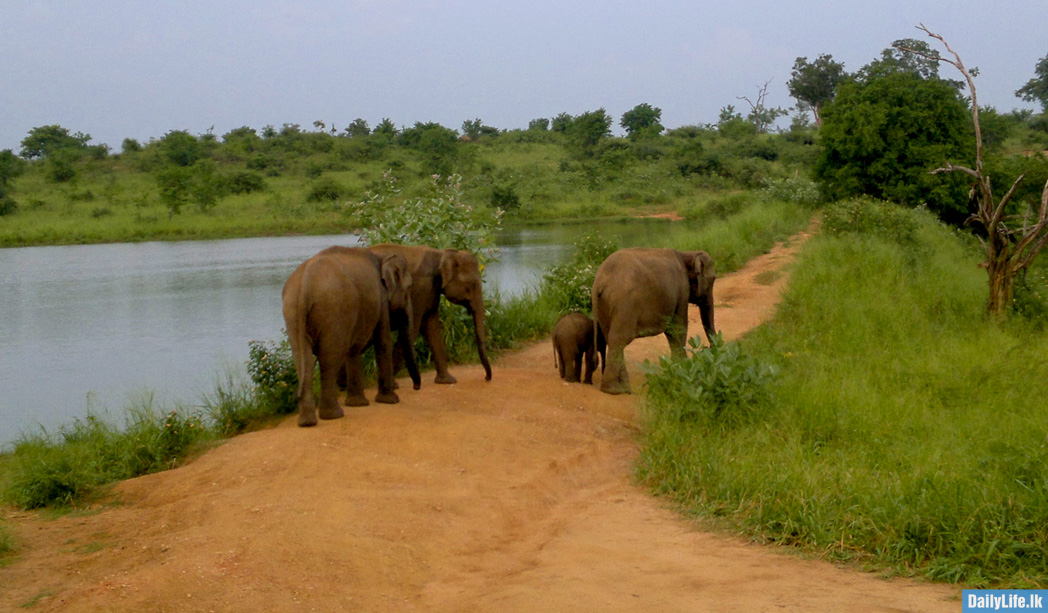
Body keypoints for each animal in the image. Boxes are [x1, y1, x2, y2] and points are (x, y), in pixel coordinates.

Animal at [285, 244, 423, 425]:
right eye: (409, 288)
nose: (416, 387)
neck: (382, 256)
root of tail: (306, 284)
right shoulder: (381, 297)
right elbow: (383, 341)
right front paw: (391, 400)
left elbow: (354, 348)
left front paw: (358, 404)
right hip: (334, 310)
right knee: (329, 357)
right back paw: (334, 415)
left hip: (293, 312)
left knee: (303, 358)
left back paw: (307, 422)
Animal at [366, 244, 492, 381]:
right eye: (472, 284)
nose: (486, 378)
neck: (441, 253)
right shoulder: (419, 289)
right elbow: (413, 330)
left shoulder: (431, 290)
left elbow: (432, 327)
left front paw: (447, 381)